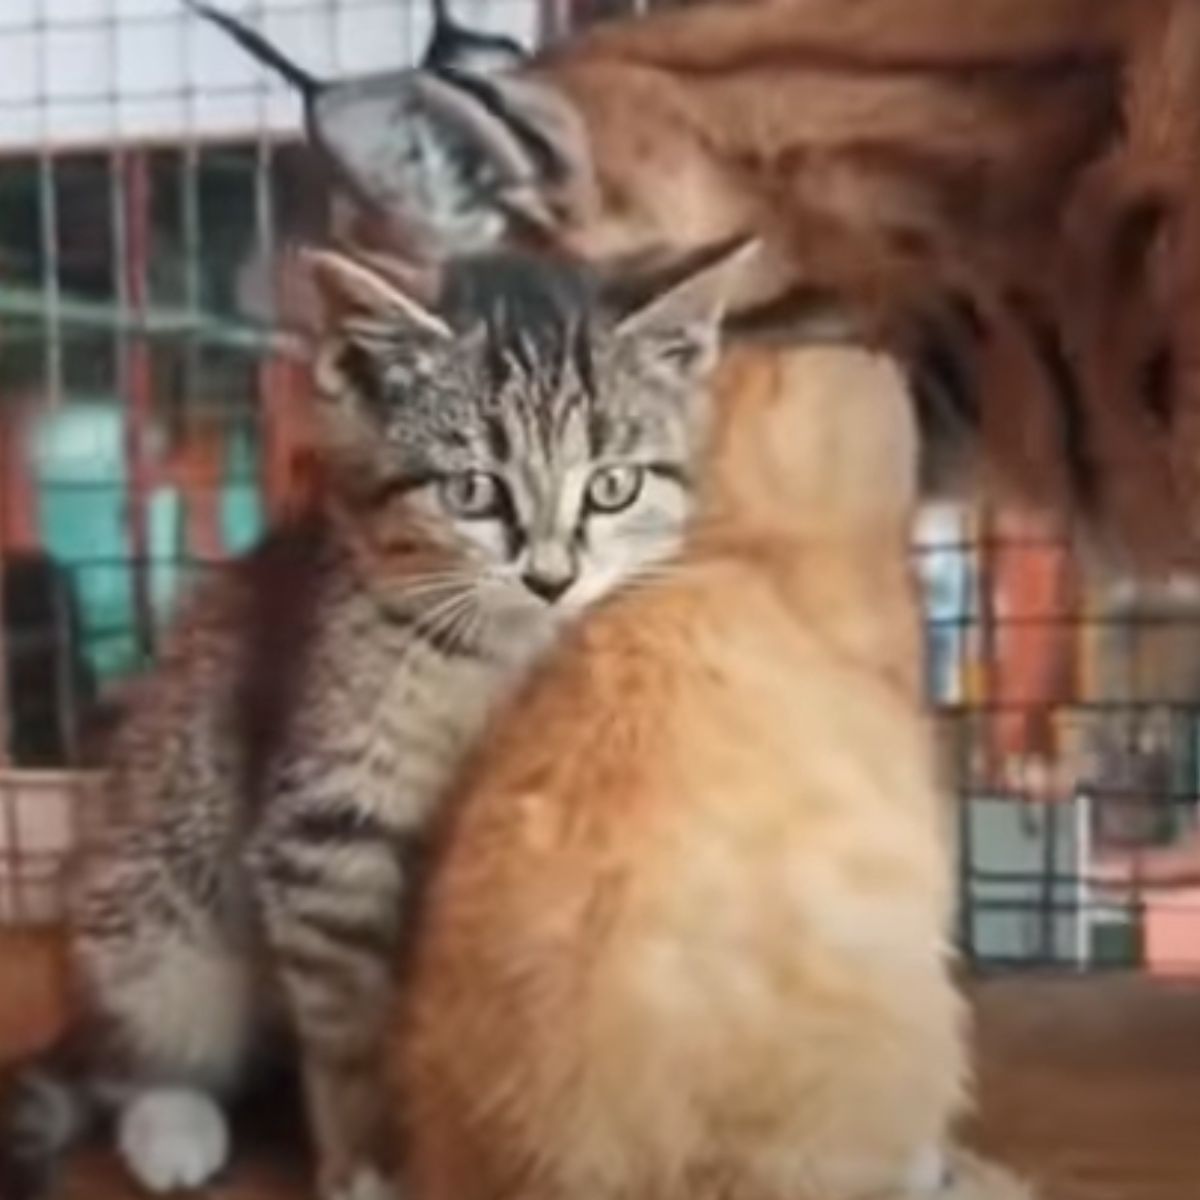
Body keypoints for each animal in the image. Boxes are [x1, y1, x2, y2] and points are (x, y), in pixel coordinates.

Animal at [0, 236, 748, 1200]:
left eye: (612, 487)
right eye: (473, 492)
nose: (551, 578)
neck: (496, 650)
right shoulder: (322, 816)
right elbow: (351, 1023)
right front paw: (366, 1157)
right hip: (162, 891)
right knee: (128, 1047)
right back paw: (170, 1121)